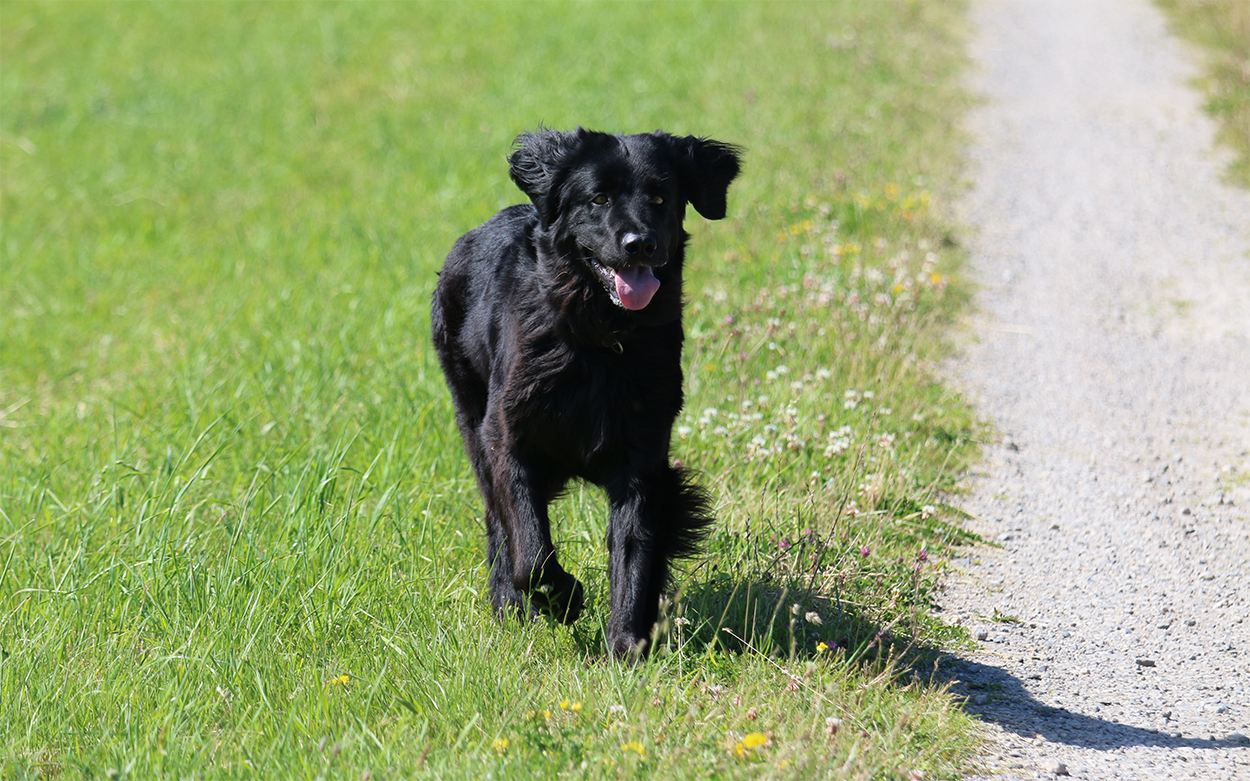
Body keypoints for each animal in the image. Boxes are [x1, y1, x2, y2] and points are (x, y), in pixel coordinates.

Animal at [431, 128, 741, 658]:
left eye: (661, 197)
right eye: (598, 199)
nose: (640, 244)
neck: (600, 339)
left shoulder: (641, 454)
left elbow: (634, 548)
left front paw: (626, 646)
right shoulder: (507, 436)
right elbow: (530, 548)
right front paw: (562, 600)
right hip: (470, 417)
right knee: (497, 523)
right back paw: (509, 606)